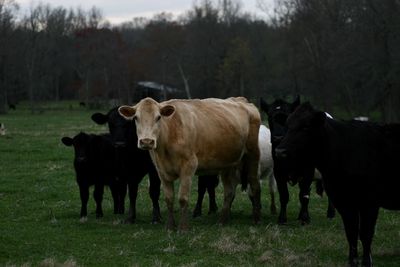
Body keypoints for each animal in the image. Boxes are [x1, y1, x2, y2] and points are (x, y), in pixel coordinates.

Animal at [118, 97, 262, 231]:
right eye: (136, 118)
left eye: (158, 117)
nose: (147, 141)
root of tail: (240, 100)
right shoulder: (161, 170)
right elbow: (168, 199)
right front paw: (170, 227)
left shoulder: (189, 166)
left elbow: (183, 198)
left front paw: (183, 228)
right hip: (227, 164)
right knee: (229, 192)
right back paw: (222, 221)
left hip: (253, 155)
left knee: (255, 185)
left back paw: (256, 219)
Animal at [260, 97, 334, 225]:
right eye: (269, 116)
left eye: (288, 119)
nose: (278, 137)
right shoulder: (278, 172)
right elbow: (284, 195)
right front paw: (282, 219)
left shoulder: (308, 171)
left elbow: (304, 195)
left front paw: (305, 219)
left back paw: (330, 214)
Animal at [276, 102, 400, 266]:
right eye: (287, 125)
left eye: (305, 127)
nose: (279, 151)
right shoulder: (342, 200)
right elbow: (351, 232)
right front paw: (352, 261)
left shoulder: (370, 202)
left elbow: (365, 234)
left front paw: (367, 261)